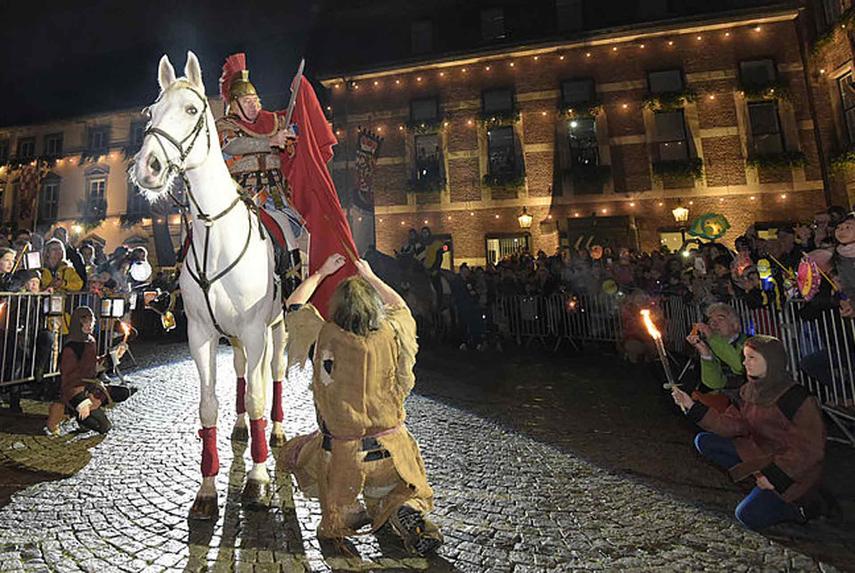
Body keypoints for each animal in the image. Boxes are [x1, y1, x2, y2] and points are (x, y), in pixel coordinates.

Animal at [131, 52, 288, 520]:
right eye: (150, 113)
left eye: (191, 109)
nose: (147, 168)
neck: (215, 232)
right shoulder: (201, 333)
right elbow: (208, 405)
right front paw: (205, 489)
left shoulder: (255, 330)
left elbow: (257, 397)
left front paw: (257, 480)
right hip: (234, 337)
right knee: (240, 374)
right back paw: (241, 429)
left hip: (278, 328)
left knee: (272, 375)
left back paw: (275, 432)